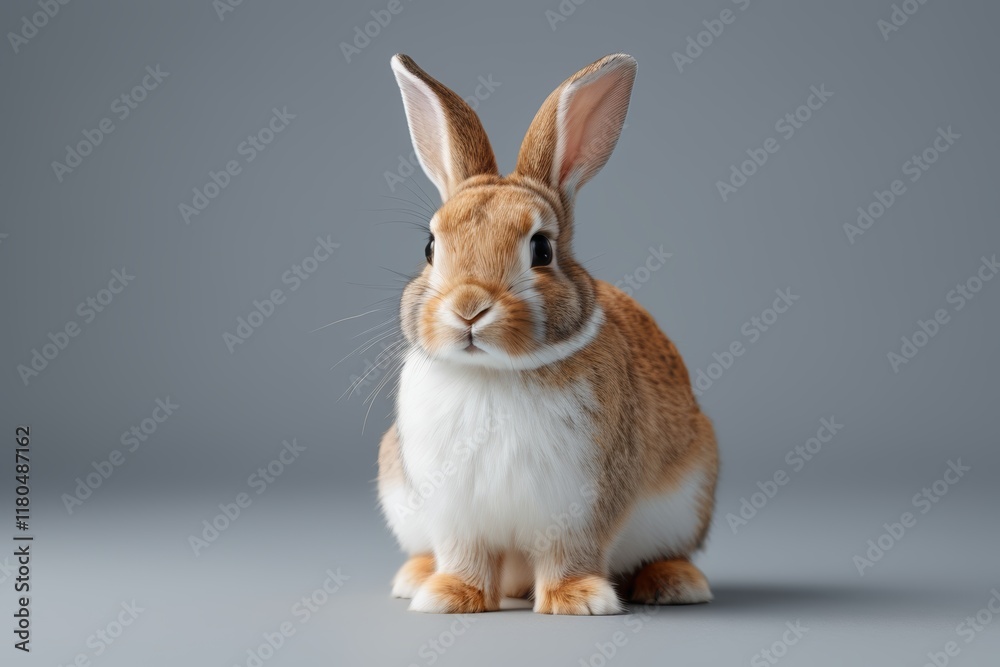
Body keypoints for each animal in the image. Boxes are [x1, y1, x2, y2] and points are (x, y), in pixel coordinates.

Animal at [377, 53, 718, 615]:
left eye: (541, 249)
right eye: (430, 246)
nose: (469, 308)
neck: (493, 373)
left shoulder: (583, 504)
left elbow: (570, 552)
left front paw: (578, 600)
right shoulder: (455, 512)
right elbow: (465, 553)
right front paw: (450, 597)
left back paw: (676, 583)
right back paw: (416, 577)